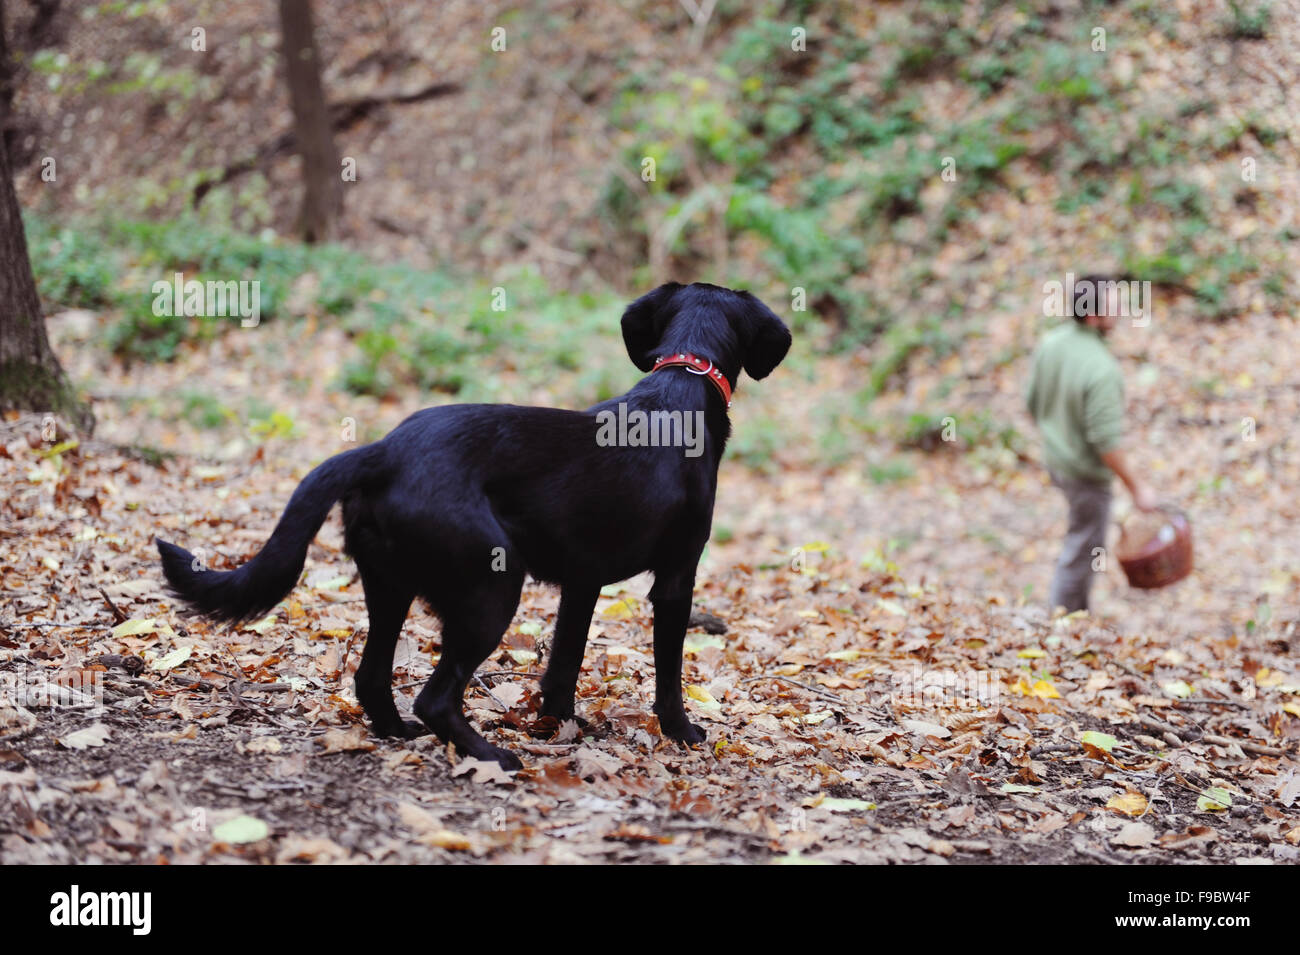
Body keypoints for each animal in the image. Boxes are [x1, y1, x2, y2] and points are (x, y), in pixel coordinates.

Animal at [162, 283, 790, 769]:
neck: (682, 385)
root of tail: (381, 451)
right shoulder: (677, 577)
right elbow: (668, 671)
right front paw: (682, 732)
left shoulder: (582, 581)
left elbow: (564, 663)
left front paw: (558, 726)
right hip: (491, 586)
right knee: (436, 698)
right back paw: (490, 755)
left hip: (390, 584)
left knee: (373, 678)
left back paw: (402, 734)